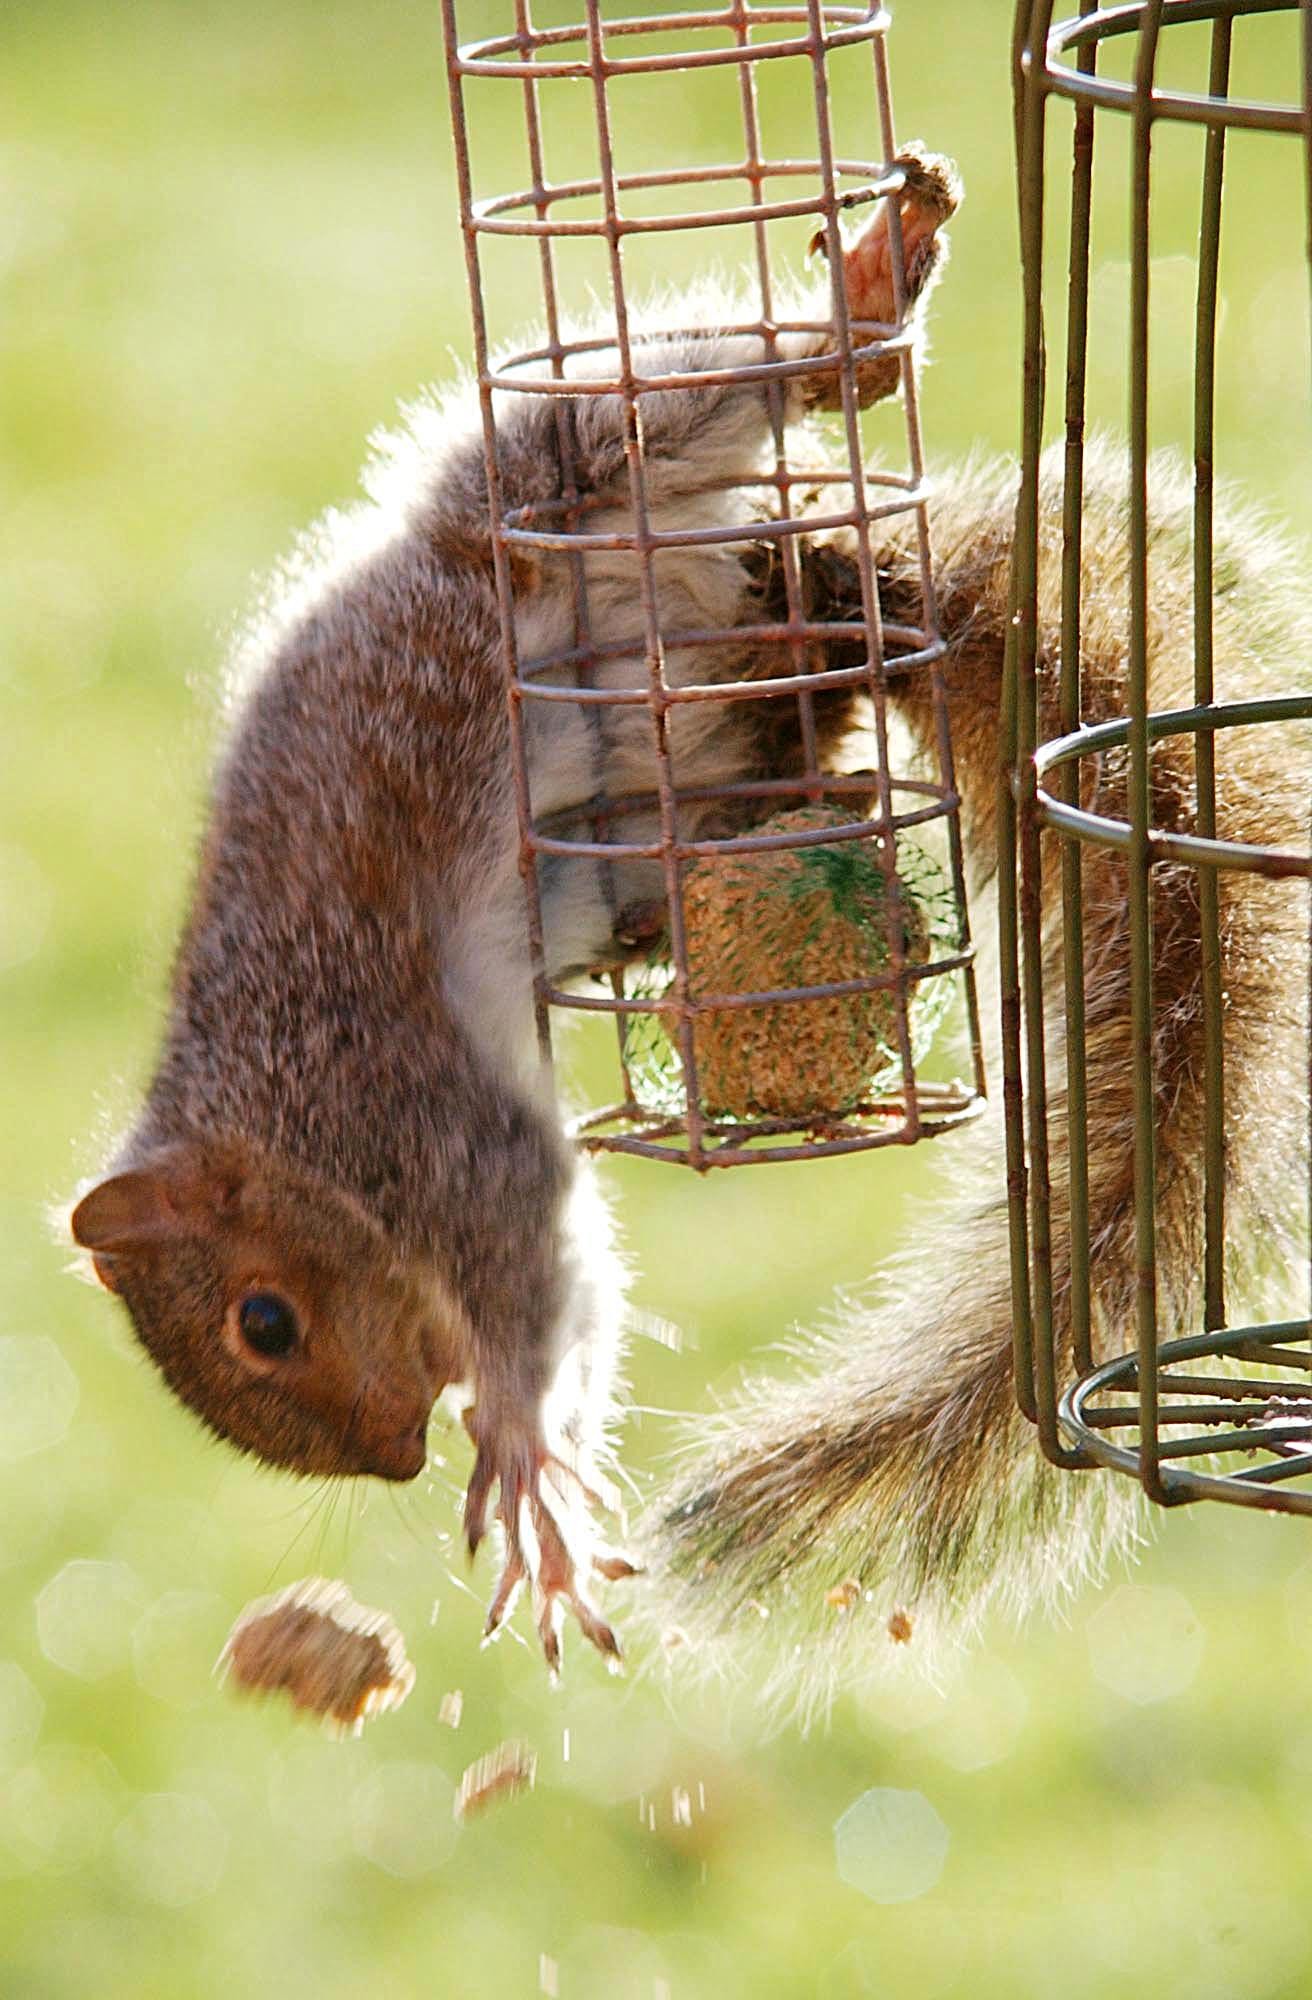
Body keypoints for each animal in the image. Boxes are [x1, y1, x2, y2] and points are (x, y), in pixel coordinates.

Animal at [69, 152, 1312, 1688]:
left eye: (264, 1321)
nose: (396, 1454)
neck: (270, 1108)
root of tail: (791, 578)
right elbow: (585, 1276)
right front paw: (528, 1463)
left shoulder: (411, 1111)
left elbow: (533, 1255)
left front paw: (523, 1457)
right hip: (682, 751)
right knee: (776, 719)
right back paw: (805, 710)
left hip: (556, 476)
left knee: (701, 396)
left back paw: (865, 298)